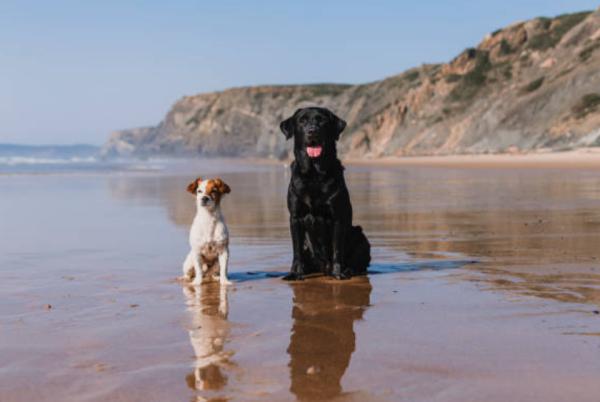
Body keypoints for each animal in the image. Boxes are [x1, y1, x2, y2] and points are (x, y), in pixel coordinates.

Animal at [280, 108, 370, 282]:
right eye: (302, 121)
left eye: (322, 121)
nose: (312, 131)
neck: (314, 173)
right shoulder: (295, 217)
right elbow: (296, 250)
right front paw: (295, 273)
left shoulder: (337, 217)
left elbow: (337, 249)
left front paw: (338, 273)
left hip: (360, 235)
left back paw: (349, 270)